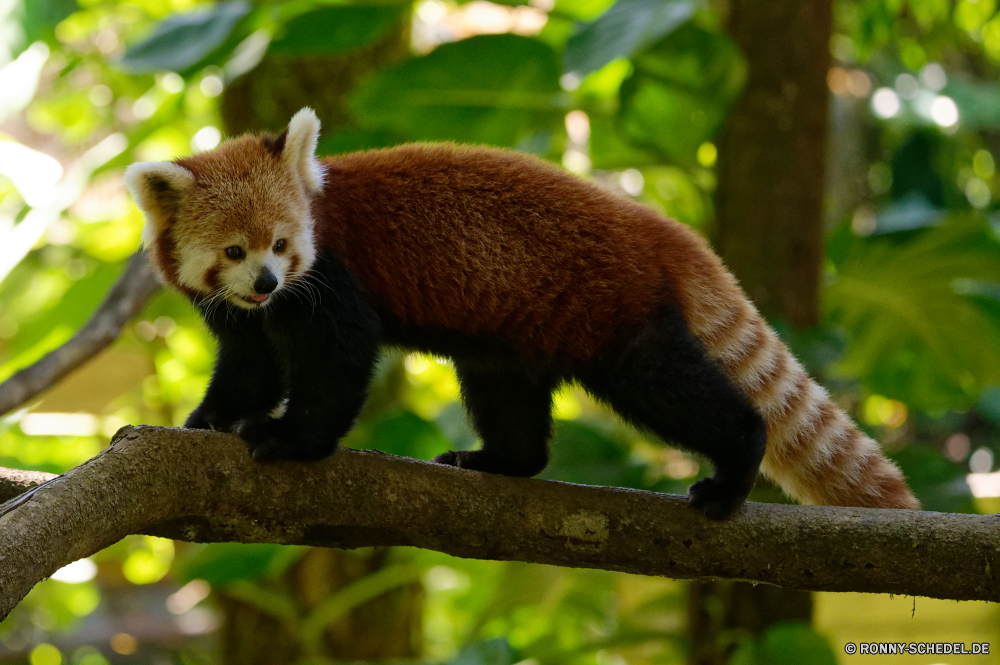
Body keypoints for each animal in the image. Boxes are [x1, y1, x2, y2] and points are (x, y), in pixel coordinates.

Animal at [127, 107, 920, 520]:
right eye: (235, 251)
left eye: (284, 245)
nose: (266, 281)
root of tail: (659, 231)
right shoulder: (242, 313)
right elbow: (252, 365)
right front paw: (208, 420)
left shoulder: (330, 281)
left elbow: (338, 363)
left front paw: (290, 439)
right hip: (512, 336)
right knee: (505, 395)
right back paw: (501, 459)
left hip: (615, 316)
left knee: (673, 388)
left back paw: (732, 469)